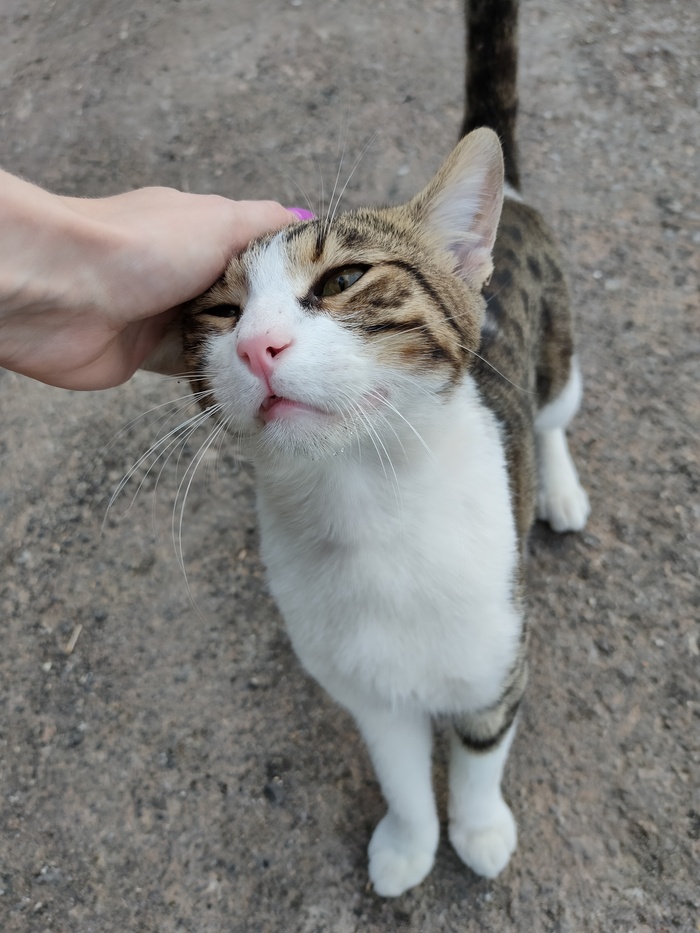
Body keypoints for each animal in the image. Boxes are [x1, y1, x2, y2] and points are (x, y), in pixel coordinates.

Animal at [175, 0, 589, 898]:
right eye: (222, 312)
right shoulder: (365, 689)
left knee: (550, 414)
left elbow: (480, 751)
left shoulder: (498, 655)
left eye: (342, 280)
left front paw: (478, 826)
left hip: (560, 351)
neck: (368, 506)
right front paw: (409, 839)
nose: (256, 345)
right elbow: (399, 771)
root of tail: (509, 193)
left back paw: (558, 485)